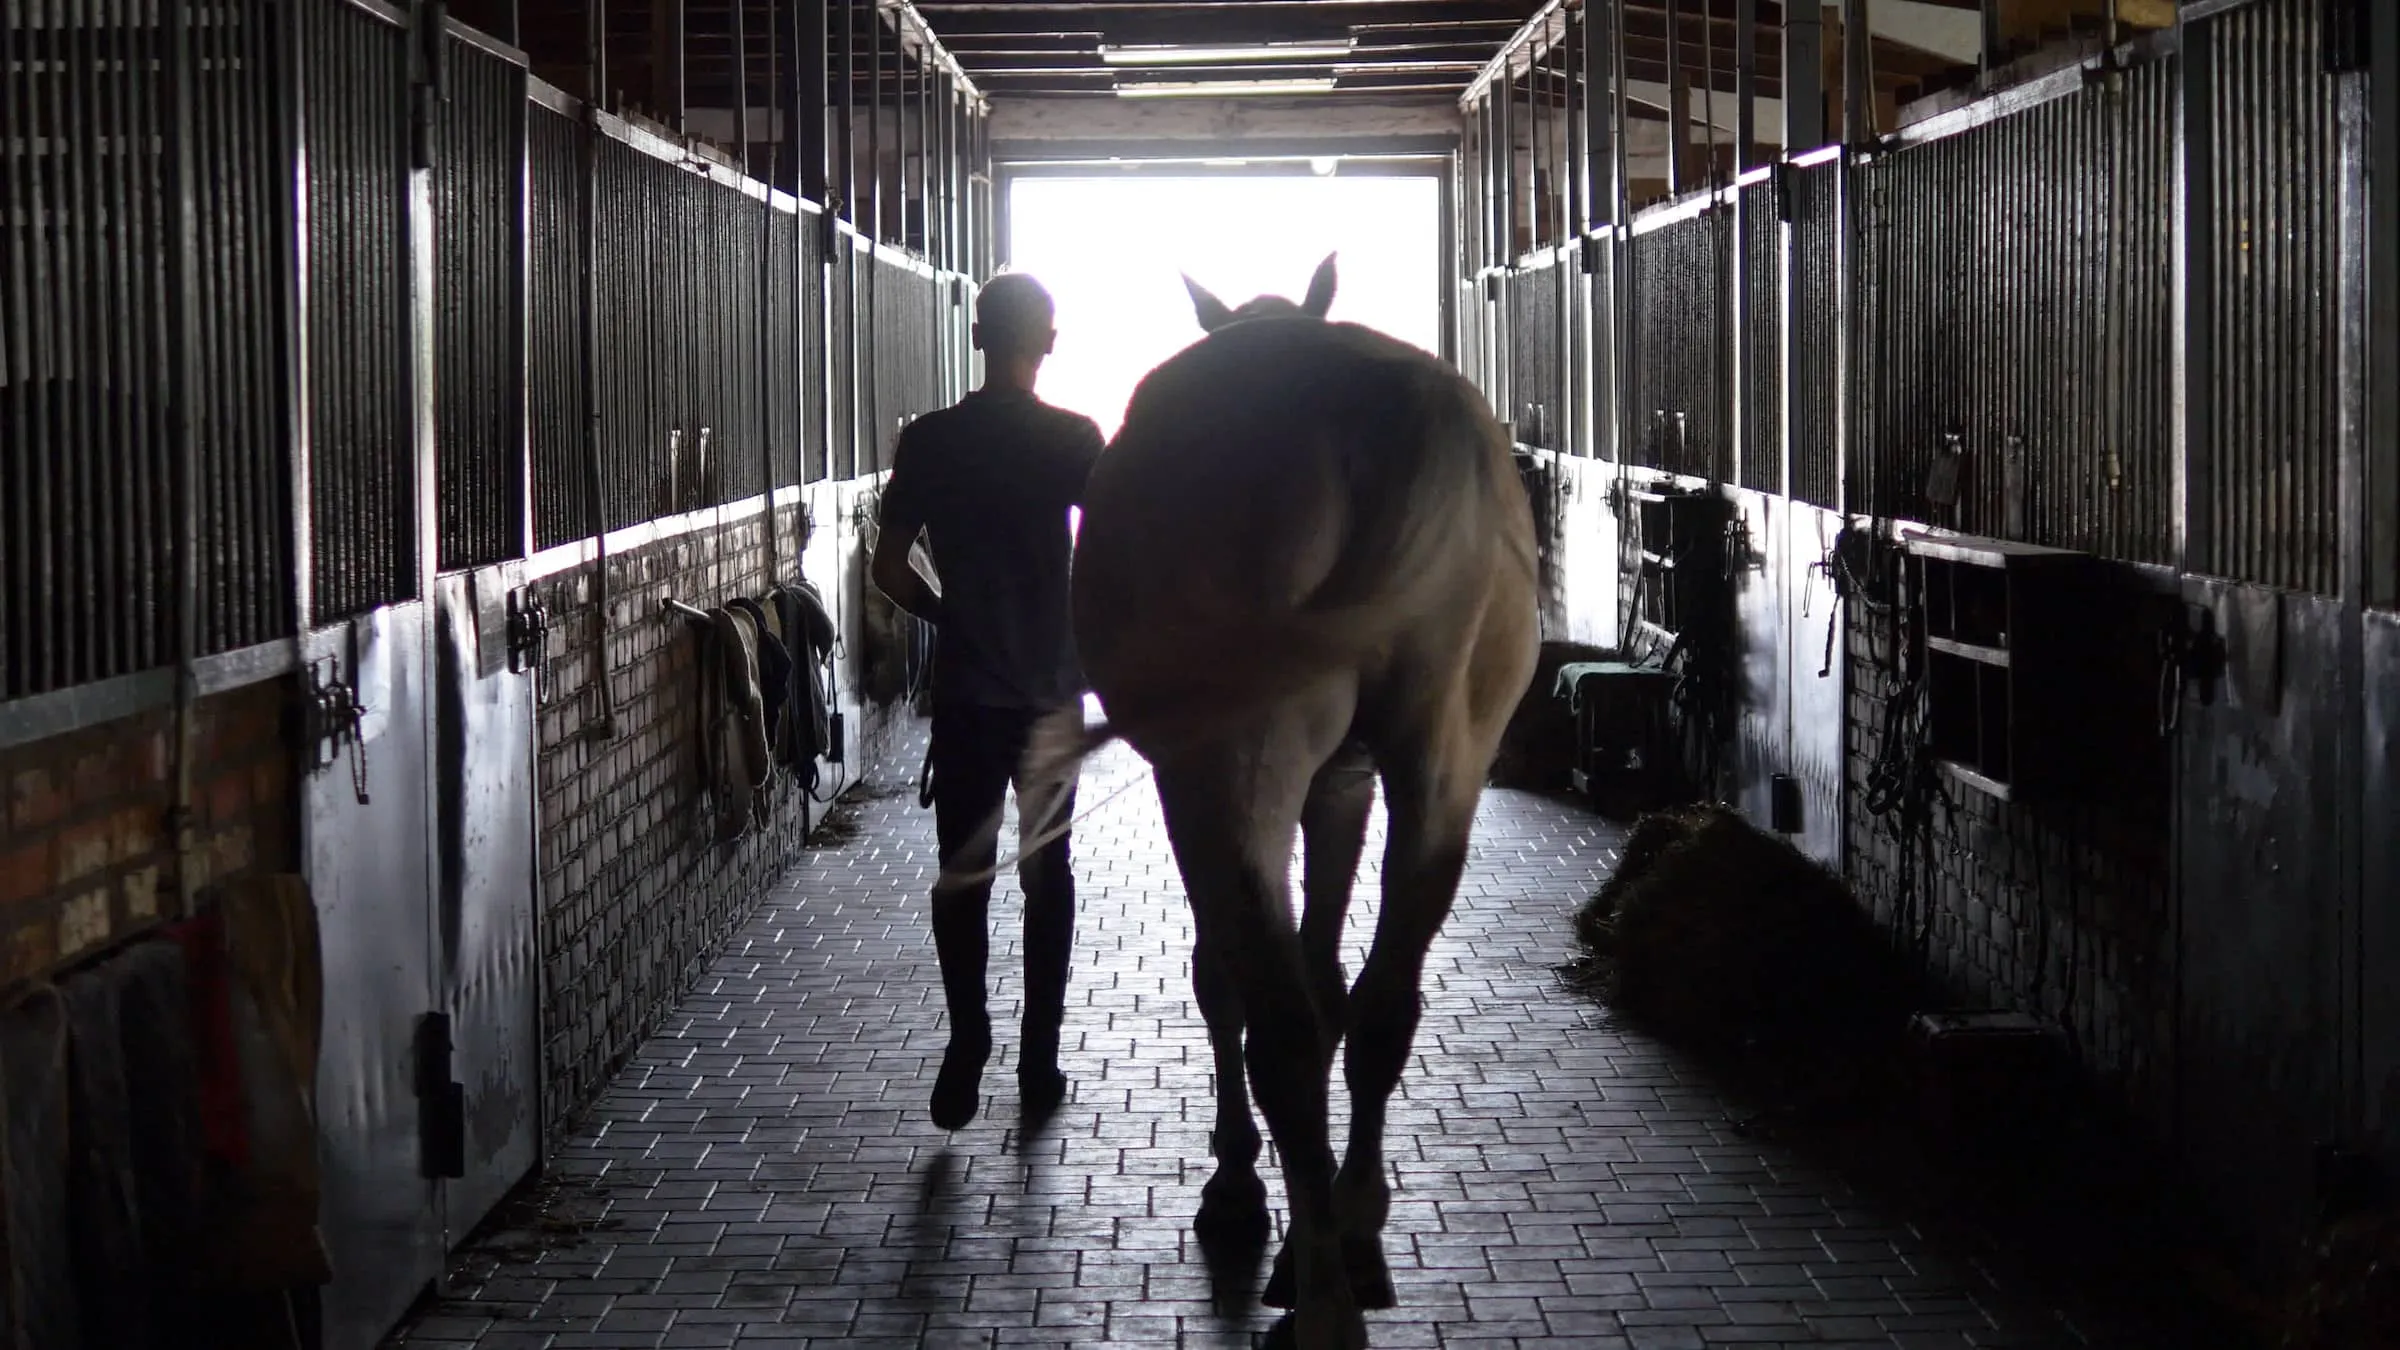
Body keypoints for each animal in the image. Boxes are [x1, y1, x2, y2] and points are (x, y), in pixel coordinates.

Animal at [1023, 255, 1538, 1348]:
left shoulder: (1203, 782)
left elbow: (1228, 976)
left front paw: (1234, 1188)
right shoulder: (1344, 784)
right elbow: (1332, 970)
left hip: (1234, 769)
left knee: (1283, 1029)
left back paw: (1321, 1299)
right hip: (1446, 767)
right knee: (1382, 1006)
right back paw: (1355, 1235)